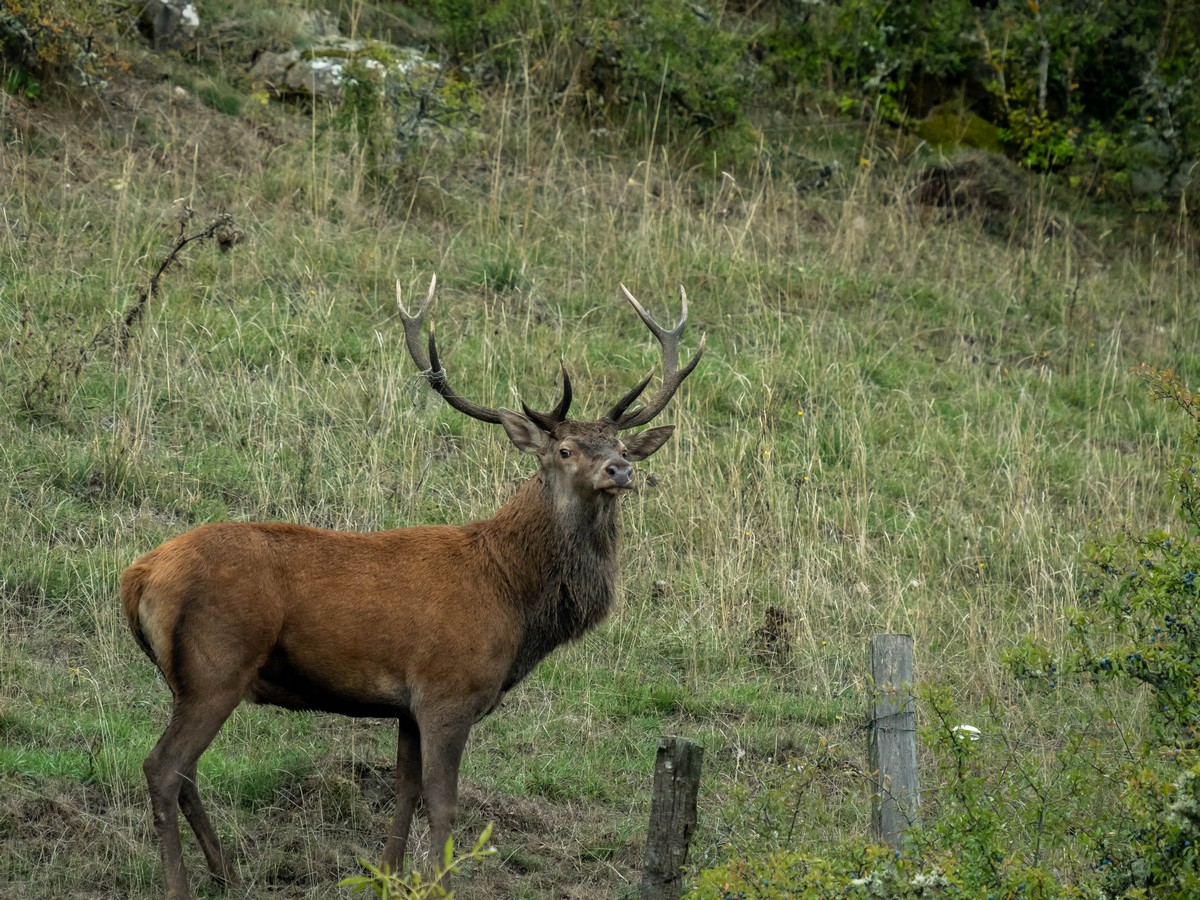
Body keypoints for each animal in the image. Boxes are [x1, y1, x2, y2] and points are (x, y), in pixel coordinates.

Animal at [121, 276, 704, 900]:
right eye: (566, 450)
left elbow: (405, 792)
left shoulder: (405, 706)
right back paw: (181, 885)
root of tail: (137, 576)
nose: (620, 470)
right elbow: (443, 803)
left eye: (619, 445)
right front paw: (439, 882)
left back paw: (226, 873)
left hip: (189, 680)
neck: (513, 597)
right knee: (162, 767)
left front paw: (390, 875)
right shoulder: (449, 691)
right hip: (216, 665)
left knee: (185, 771)